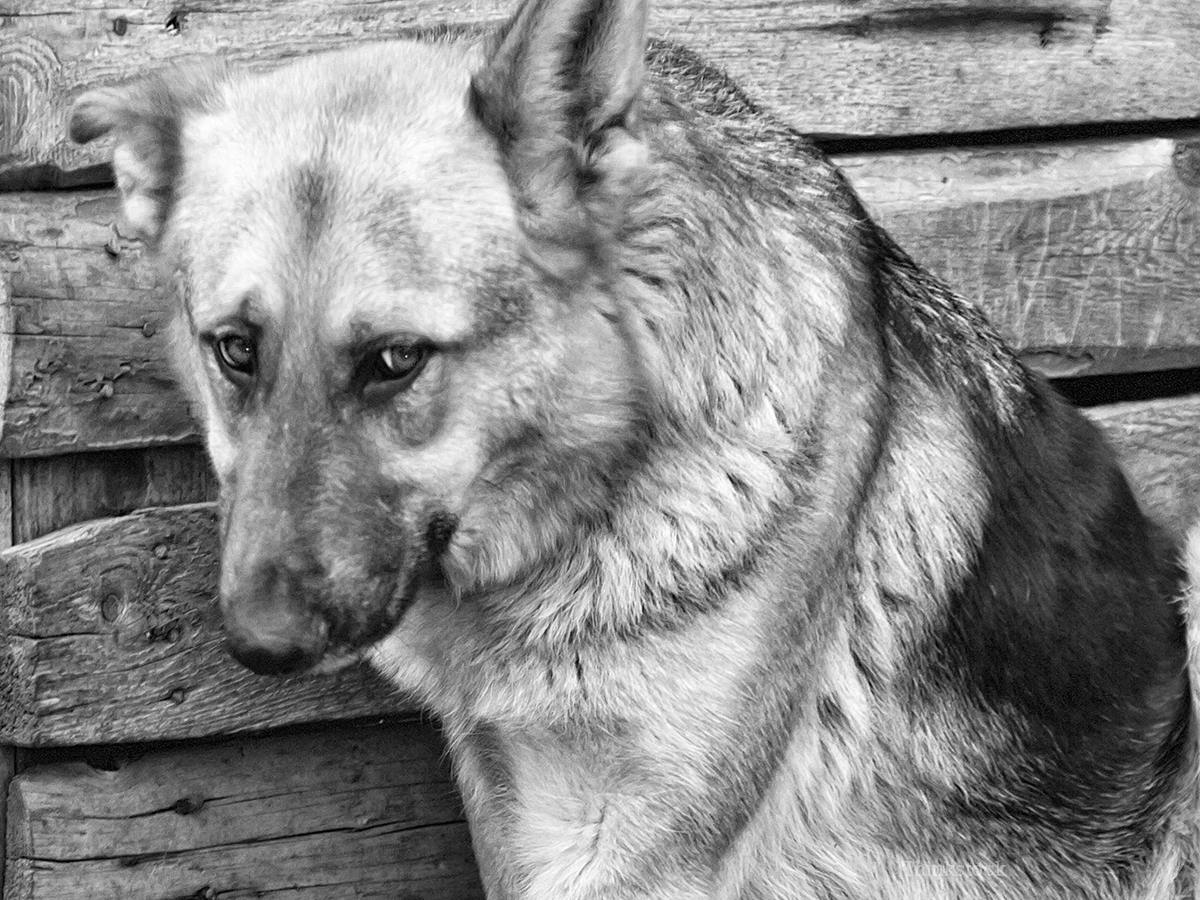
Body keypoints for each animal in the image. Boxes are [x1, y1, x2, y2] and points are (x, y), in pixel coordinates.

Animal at [68, 0, 1200, 897]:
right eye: (235, 350)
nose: (259, 644)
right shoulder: (520, 807)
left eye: (395, 360)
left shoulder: (637, 851)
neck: (614, 492)